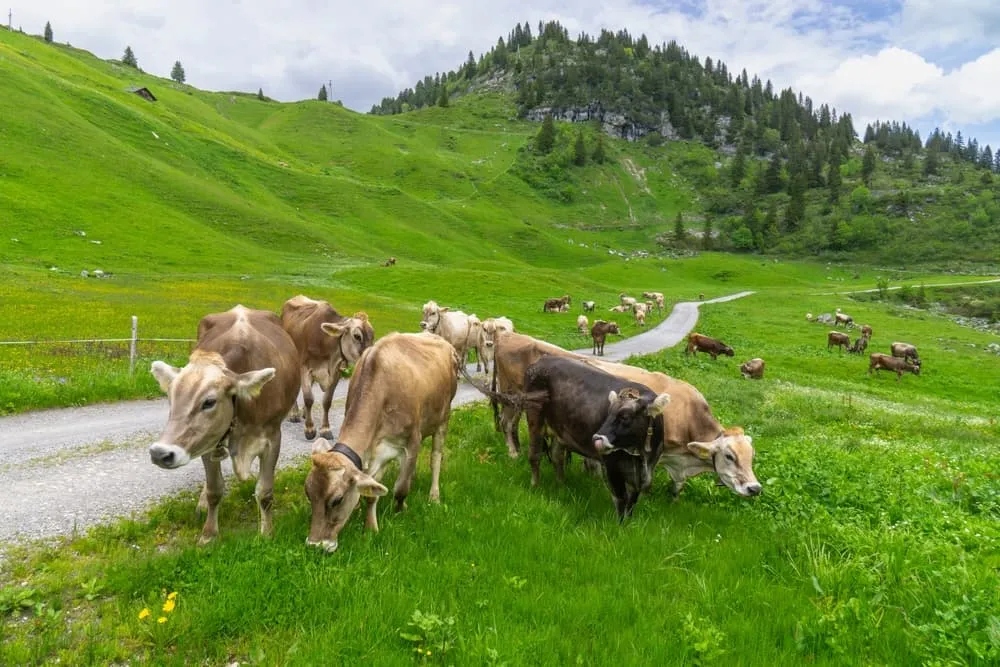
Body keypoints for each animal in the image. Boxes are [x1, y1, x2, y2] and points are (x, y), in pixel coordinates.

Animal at [146, 306, 298, 544]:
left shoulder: (273, 437)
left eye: (209, 402)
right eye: (171, 397)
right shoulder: (208, 440)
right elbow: (214, 490)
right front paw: (208, 534)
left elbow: (265, 492)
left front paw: (266, 533)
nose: (160, 453)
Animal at [282, 294, 376, 440]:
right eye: (357, 336)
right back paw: (294, 414)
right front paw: (310, 429)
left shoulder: (336, 372)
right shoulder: (304, 368)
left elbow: (327, 401)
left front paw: (325, 429)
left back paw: (304, 413)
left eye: (373, 336)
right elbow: (309, 398)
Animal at [304, 332, 460, 552]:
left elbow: (401, 488)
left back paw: (434, 496)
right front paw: (371, 527)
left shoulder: (411, 443)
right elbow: (373, 492)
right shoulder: (377, 451)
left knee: (435, 458)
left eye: (337, 500)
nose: (315, 545)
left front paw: (401, 509)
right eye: (308, 494)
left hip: (443, 419)